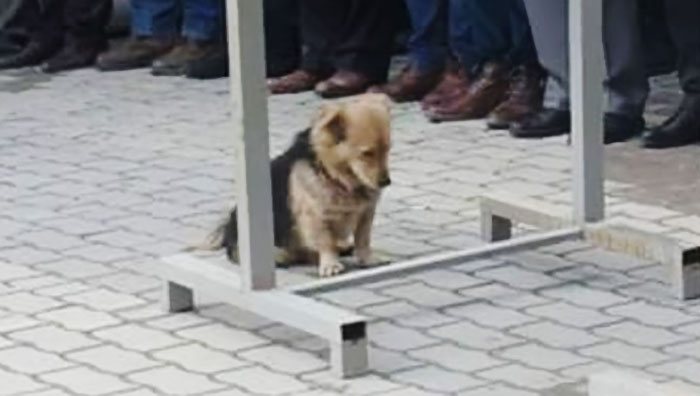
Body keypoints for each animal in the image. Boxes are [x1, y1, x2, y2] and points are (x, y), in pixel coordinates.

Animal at [200, 94, 392, 276]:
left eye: (388, 149)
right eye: (366, 153)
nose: (386, 182)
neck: (335, 175)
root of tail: (227, 232)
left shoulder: (366, 214)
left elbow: (363, 239)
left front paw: (368, 258)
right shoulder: (315, 216)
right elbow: (326, 242)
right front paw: (330, 264)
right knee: (294, 254)